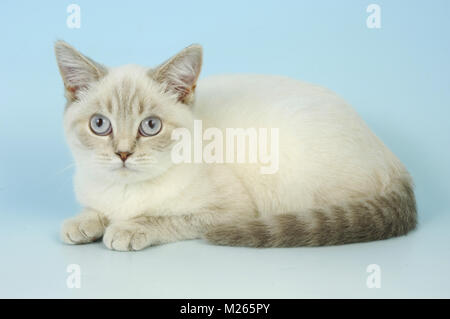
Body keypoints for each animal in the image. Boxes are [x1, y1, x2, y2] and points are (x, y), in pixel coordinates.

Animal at [56, 40, 418, 251]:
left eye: (151, 126)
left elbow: (162, 219)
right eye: (100, 124)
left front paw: (127, 229)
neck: (124, 194)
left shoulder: (228, 212)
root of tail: (393, 162)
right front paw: (82, 223)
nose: (123, 153)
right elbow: (95, 209)